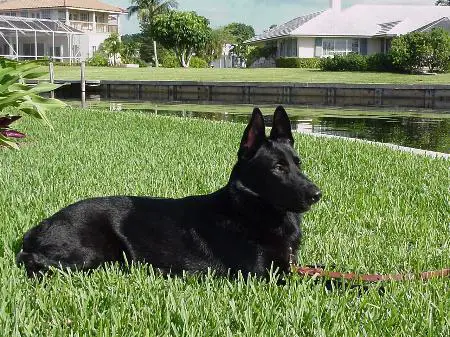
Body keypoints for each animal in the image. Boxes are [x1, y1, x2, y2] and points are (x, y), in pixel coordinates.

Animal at [16, 105, 320, 278]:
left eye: (298, 163)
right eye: (278, 168)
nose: (317, 194)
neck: (247, 209)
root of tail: (40, 226)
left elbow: (317, 271)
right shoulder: (263, 275)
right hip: (86, 254)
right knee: (30, 260)